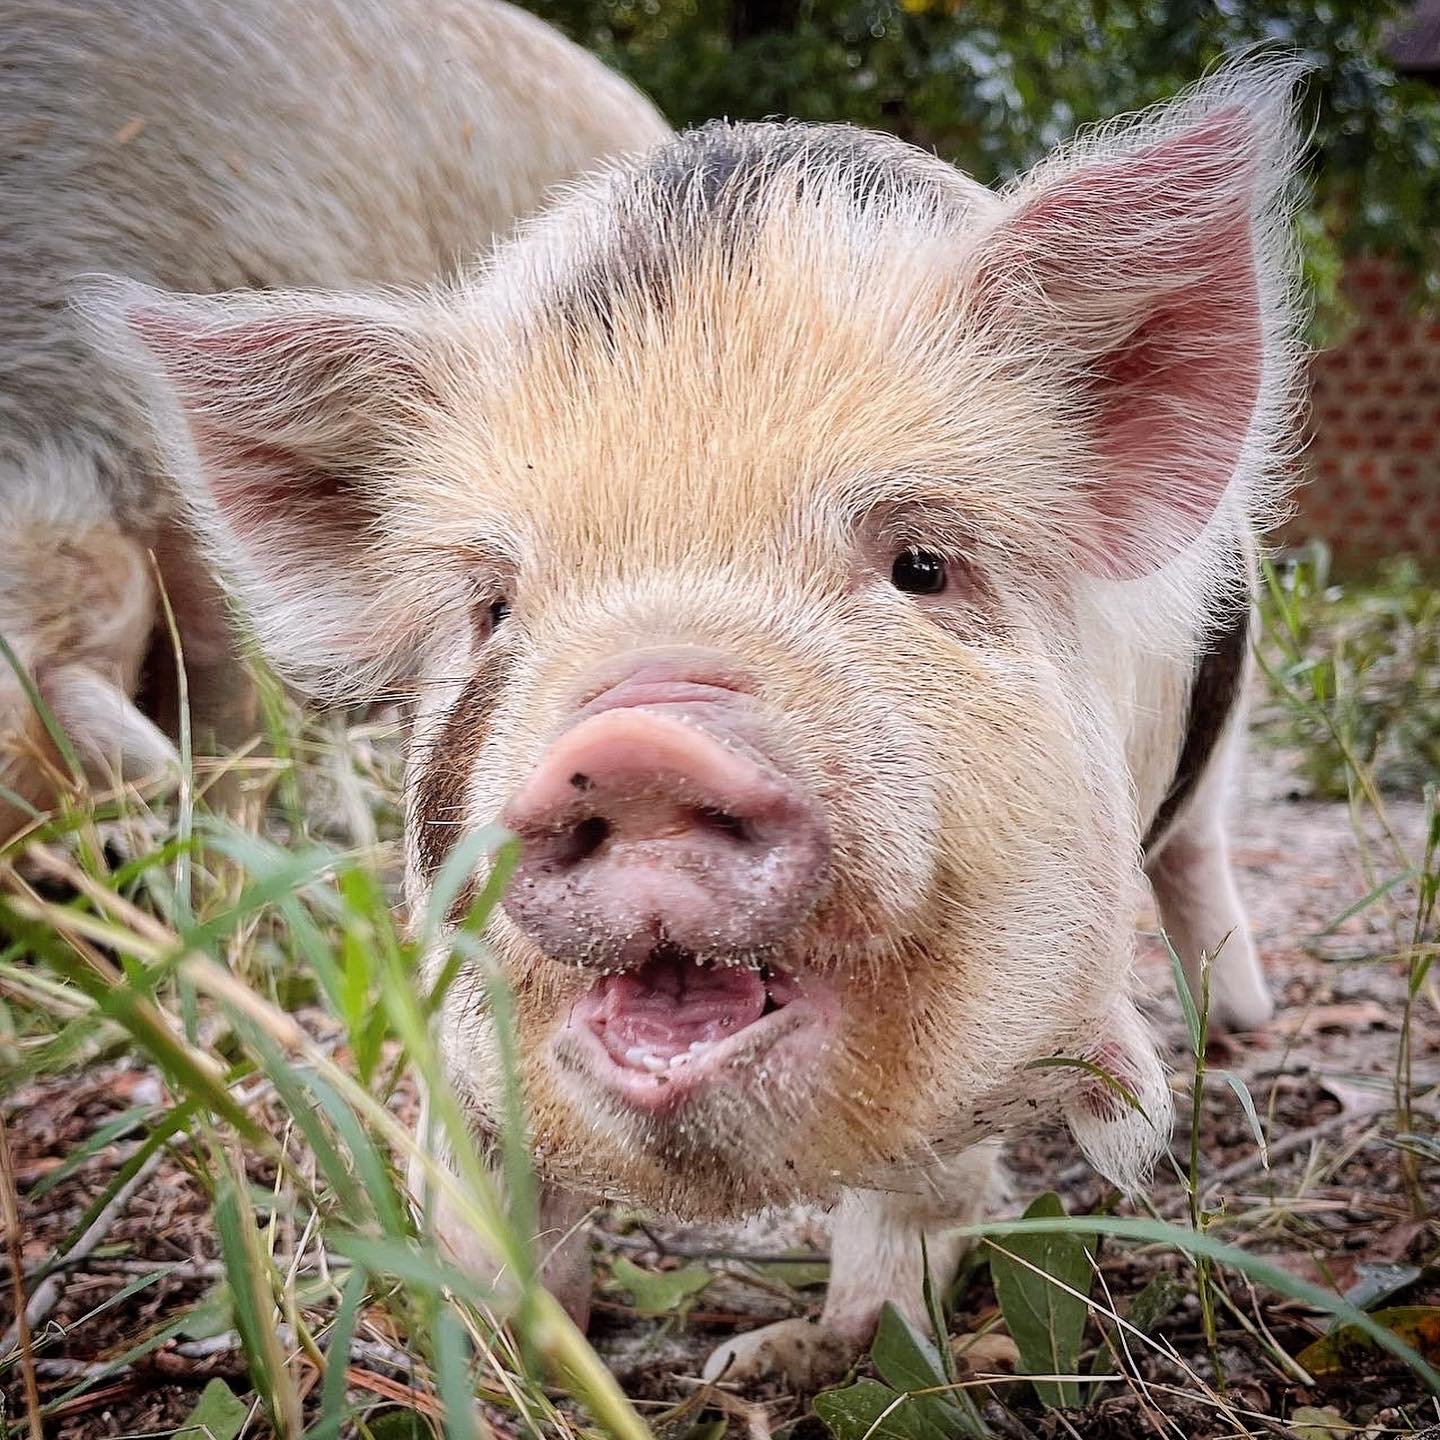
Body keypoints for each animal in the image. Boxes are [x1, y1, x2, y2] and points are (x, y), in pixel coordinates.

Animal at [92, 59, 1307, 1393]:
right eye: (493, 608)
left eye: (921, 567)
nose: (635, 749)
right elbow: (489, 1206)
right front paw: (502, 1355)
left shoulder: (1022, 1017)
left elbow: (916, 1207)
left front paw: (793, 1360)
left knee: (1197, 854)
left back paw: (1235, 1026)